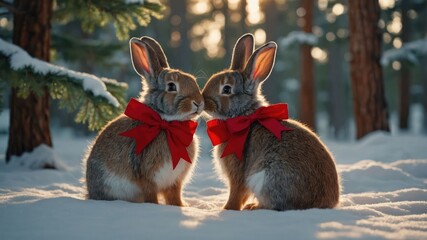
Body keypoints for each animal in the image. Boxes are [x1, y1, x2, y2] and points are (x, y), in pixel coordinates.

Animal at [84, 36, 205, 205]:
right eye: (171, 86)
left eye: (193, 80)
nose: (198, 103)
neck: (167, 124)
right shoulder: (147, 178)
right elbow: (151, 195)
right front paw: (155, 206)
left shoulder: (174, 182)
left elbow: (174, 197)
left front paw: (181, 206)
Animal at [203, 33, 342, 210]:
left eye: (226, 89)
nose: (204, 101)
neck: (244, 115)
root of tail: (323, 203)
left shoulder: (238, 172)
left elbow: (236, 193)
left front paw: (227, 209)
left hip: (265, 178)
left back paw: (253, 207)